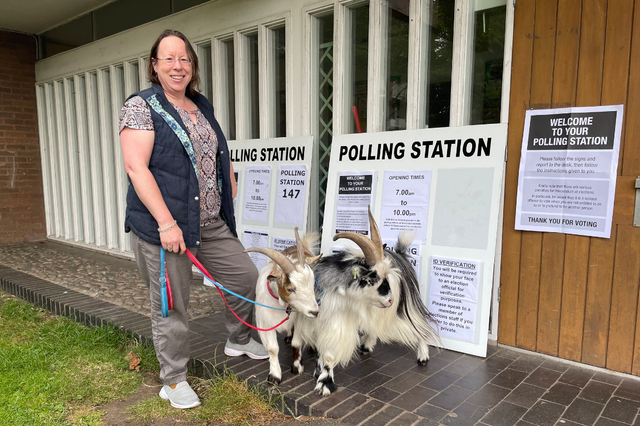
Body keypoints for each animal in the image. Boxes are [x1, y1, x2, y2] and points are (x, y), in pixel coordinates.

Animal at [245, 228, 320, 384]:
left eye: (312, 284)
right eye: (290, 288)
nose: (315, 312)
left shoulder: (300, 319)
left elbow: (296, 344)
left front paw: (297, 367)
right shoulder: (265, 322)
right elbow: (273, 349)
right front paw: (274, 376)